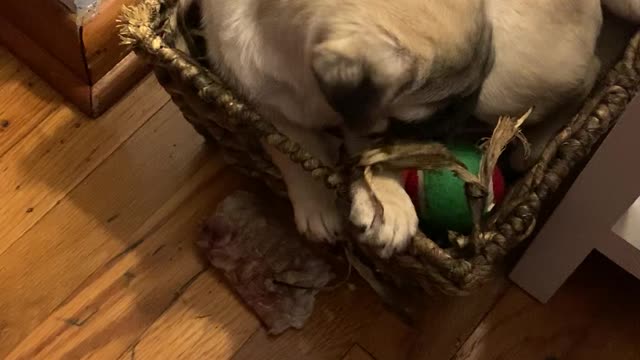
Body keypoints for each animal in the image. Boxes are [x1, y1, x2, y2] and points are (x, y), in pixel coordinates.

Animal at [176, 0, 496, 256]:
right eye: (444, 108)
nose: (466, 112)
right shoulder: (271, 110)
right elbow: (298, 157)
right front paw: (319, 206)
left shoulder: (365, 120)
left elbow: (376, 156)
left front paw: (386, 202)